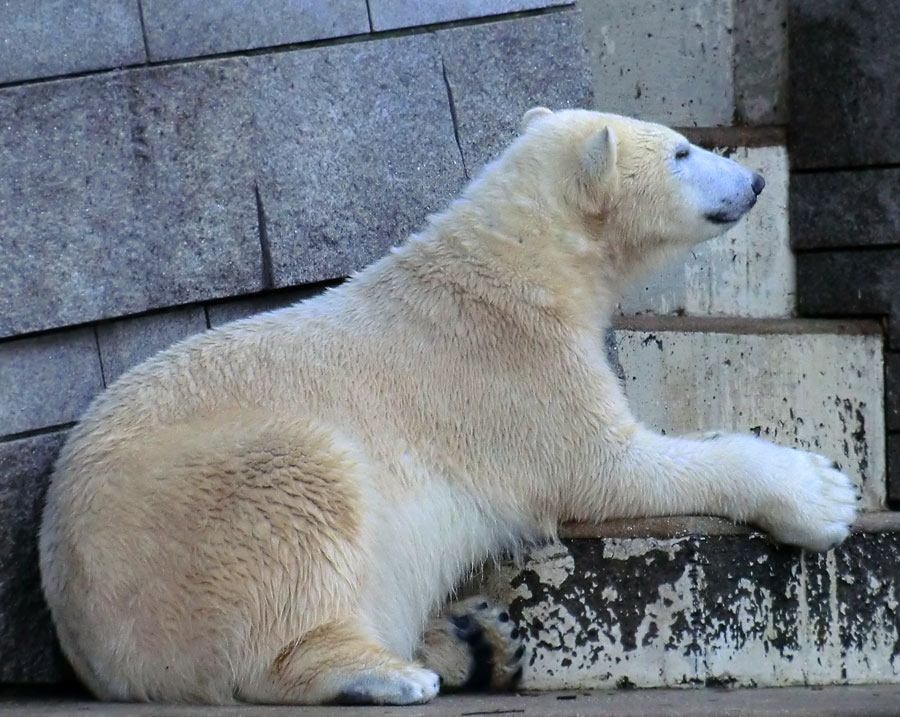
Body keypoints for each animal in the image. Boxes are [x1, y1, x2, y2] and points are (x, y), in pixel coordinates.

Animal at [40, 107, 856, 704]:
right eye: (684, 152)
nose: (755, 180)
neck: (516, 262)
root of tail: (80, 629)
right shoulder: (510, 368)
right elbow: (606, 466)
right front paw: (822, 493)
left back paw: (478, 639)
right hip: (193, 520)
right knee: (298, 501)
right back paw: (391, 672)